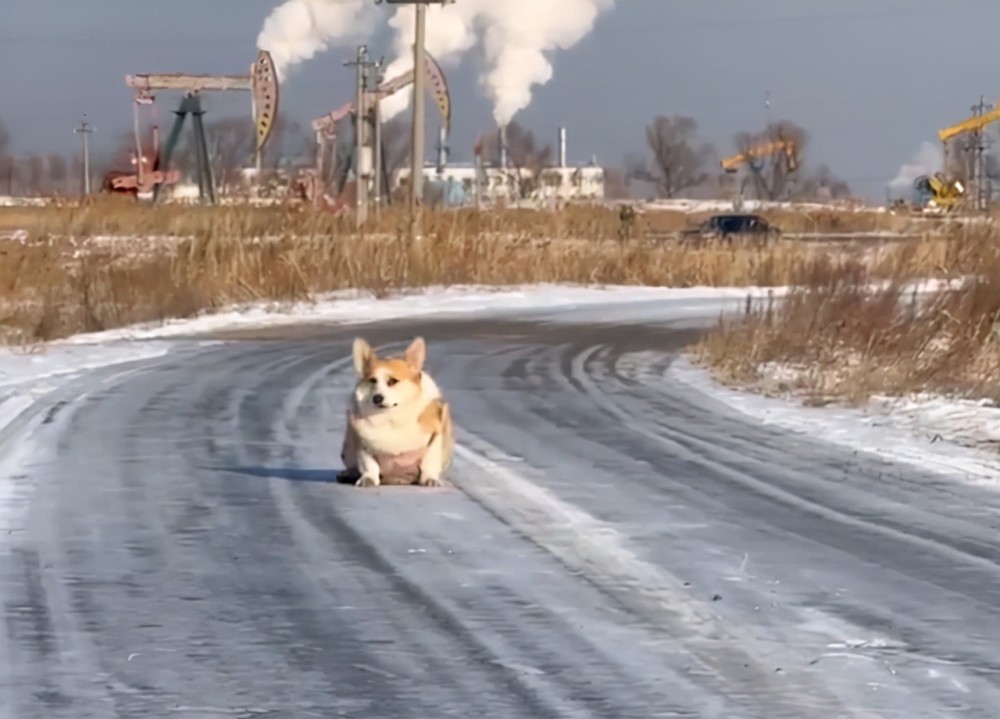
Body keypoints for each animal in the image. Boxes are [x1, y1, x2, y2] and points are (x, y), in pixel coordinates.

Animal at [342, 338, 456, 490]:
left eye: (392, 381)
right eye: (372, 380)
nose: (377, 398)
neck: (391, 418)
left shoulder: (435, 436)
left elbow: (429, 462)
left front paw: (430, 479)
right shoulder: (362, 441)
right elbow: (369, 465)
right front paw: (368, 479)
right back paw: (348, 473)